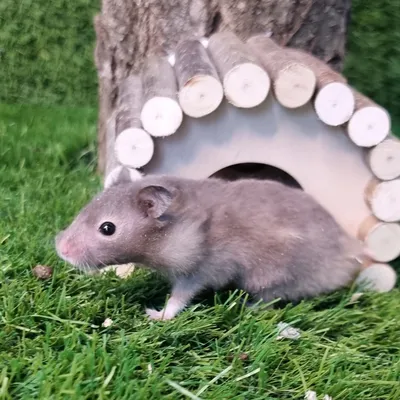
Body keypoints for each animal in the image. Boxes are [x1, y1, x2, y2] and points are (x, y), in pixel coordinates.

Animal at [54, 177, 364, 320]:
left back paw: (245, 306)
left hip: (276, 275)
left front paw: (154, 315)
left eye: (107, 228)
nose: (60, 249)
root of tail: (348, 258)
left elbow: (178, 299)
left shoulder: (198, 271)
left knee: (271, 298)